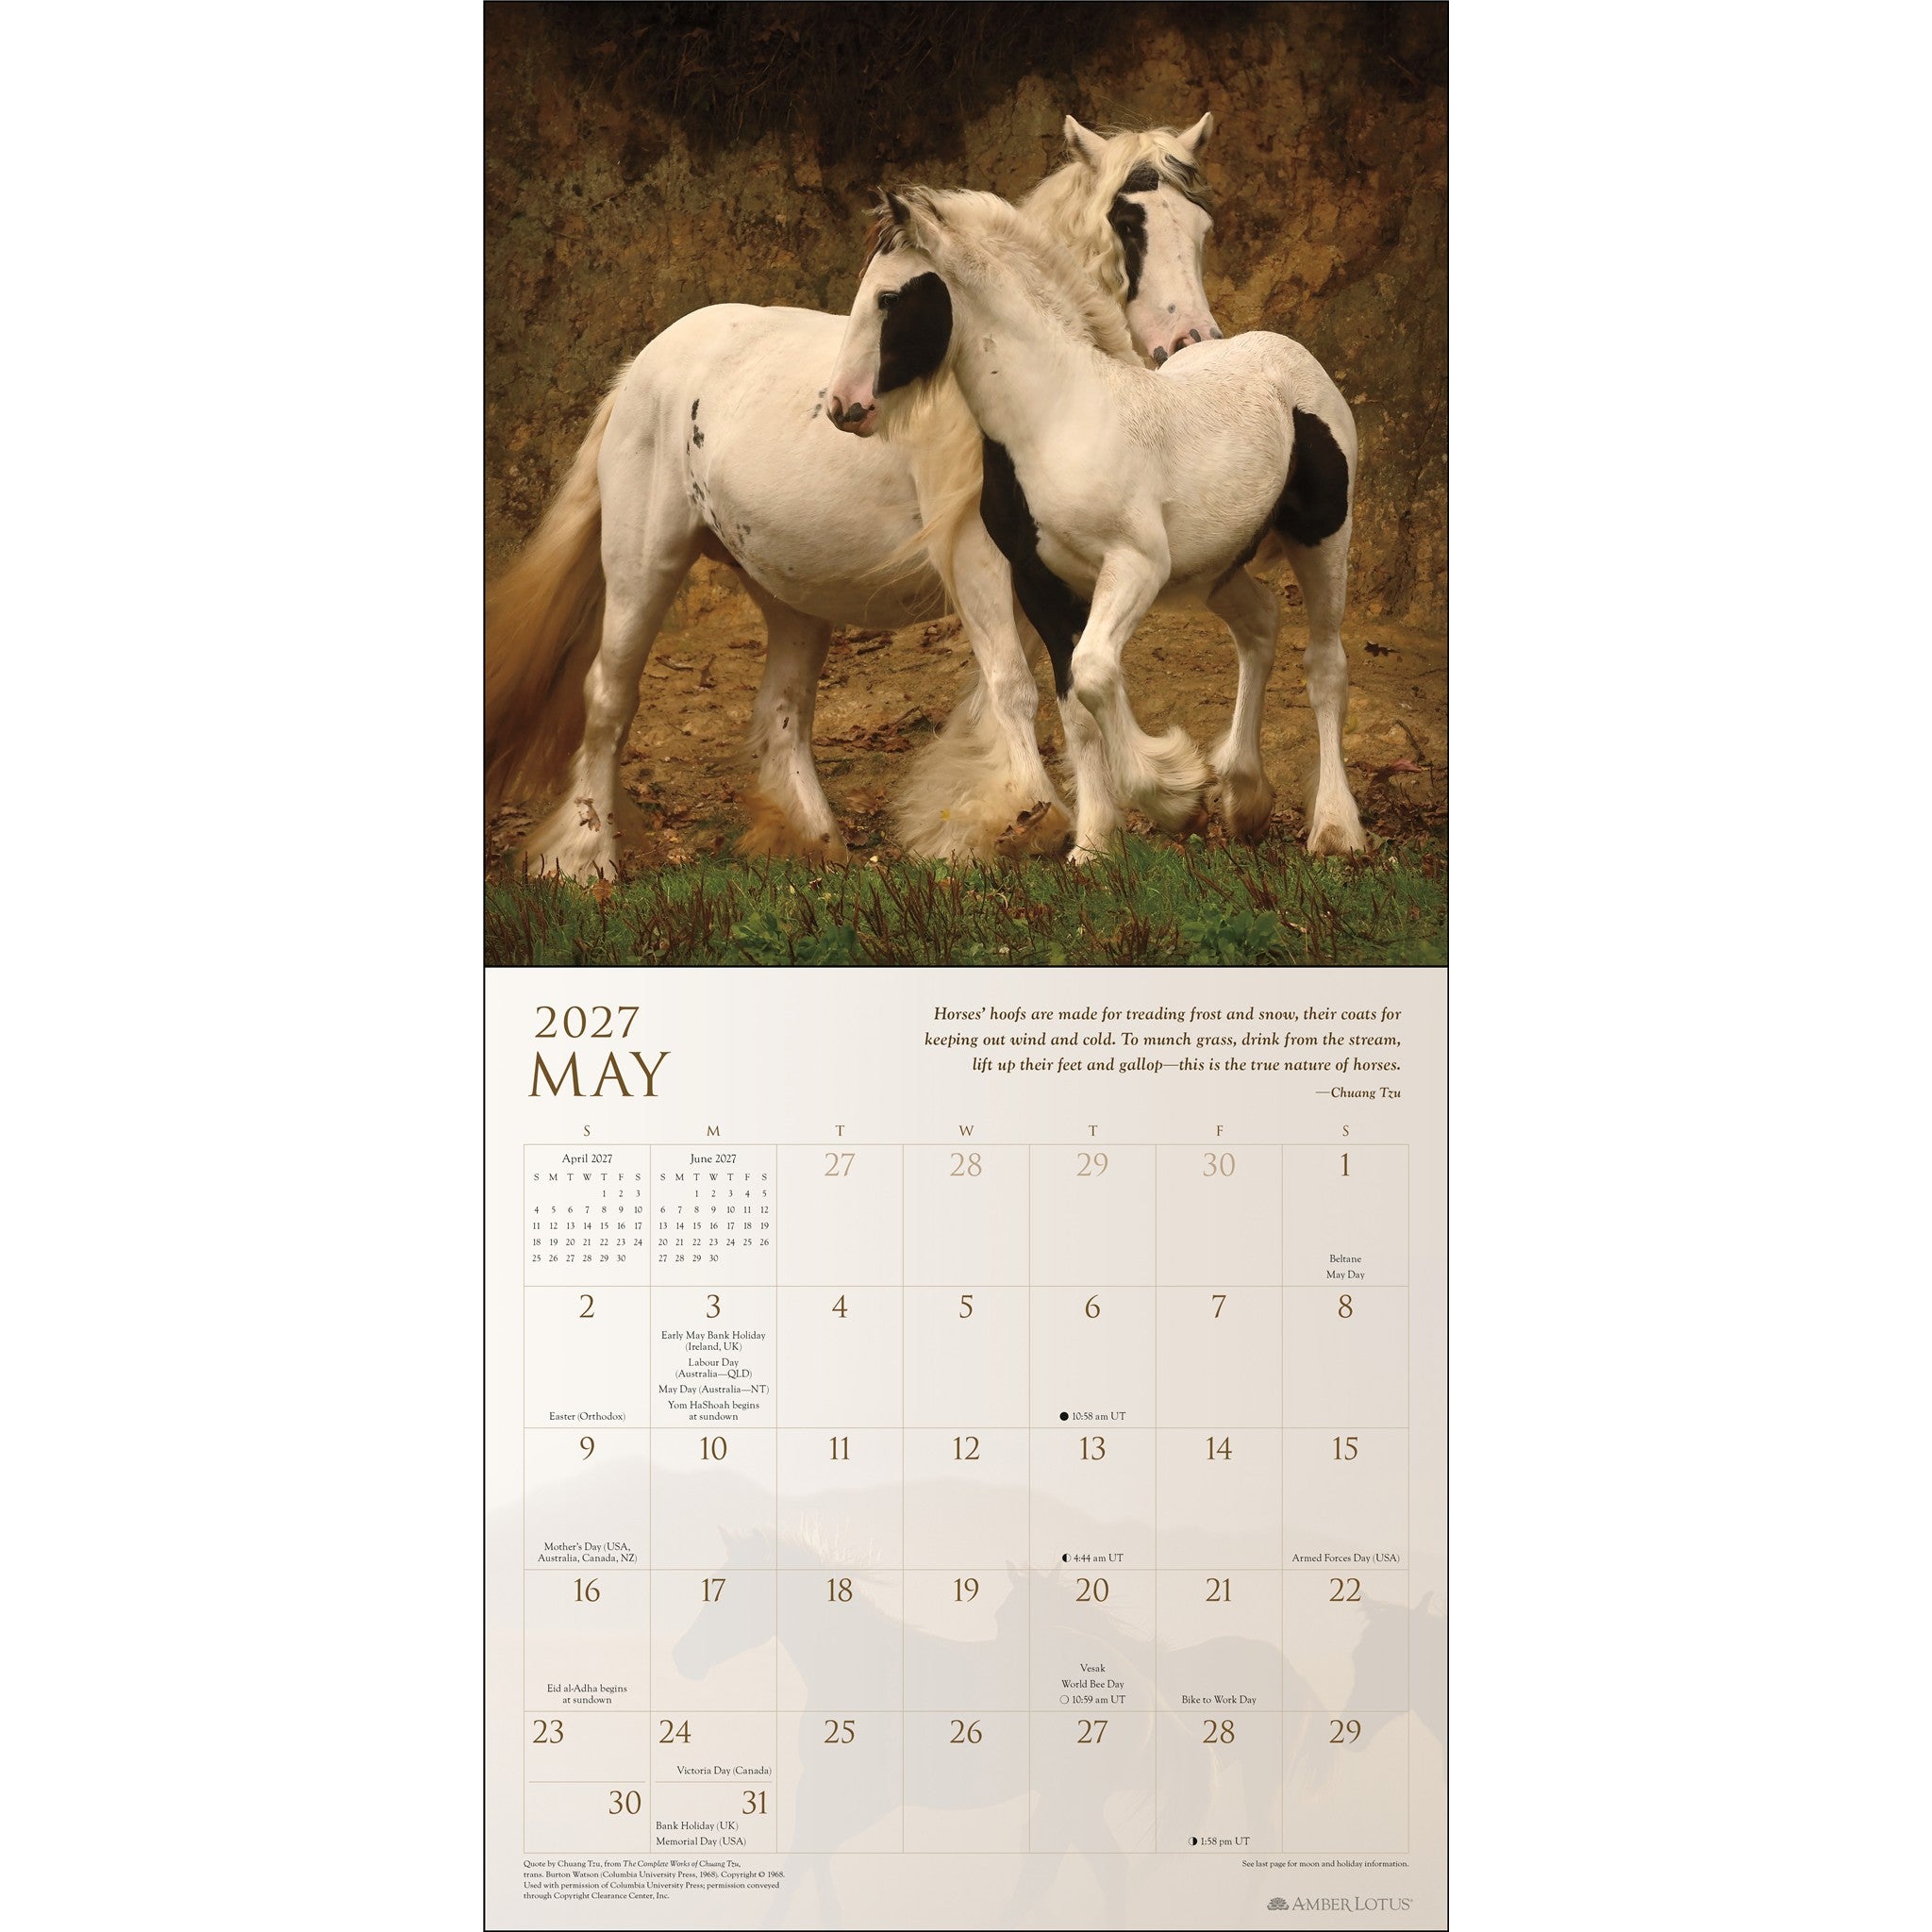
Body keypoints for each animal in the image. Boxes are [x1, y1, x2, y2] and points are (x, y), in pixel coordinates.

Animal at [484, 115, 1226, 881]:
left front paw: (1088, 827)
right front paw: (1019, 820)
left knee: (781, 711)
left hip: (790, 598)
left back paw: (814, 841)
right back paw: (585, 858)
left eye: (1202, 224)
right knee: (608, 698)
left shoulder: (1055, 574)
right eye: (1127, 222)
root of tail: (640, 368)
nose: (1191, 341)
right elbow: (1013, 686)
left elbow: (1070, 688)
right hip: (643, 569)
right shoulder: (976, 558)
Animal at [828, 185, 1370, 857]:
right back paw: (1244, 796)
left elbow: (1092, 672)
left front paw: (1174, 796)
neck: (1056, 417)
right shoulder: (1041, 582)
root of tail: (1292, 357)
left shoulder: (1135, 565)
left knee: (1325, 667)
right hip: (1213, 568)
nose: (843, 405)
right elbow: (1074, 709)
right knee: (1260, 625)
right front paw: (1093, 844)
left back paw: (1335, 829)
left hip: (1323, 539)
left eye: (888, 298)